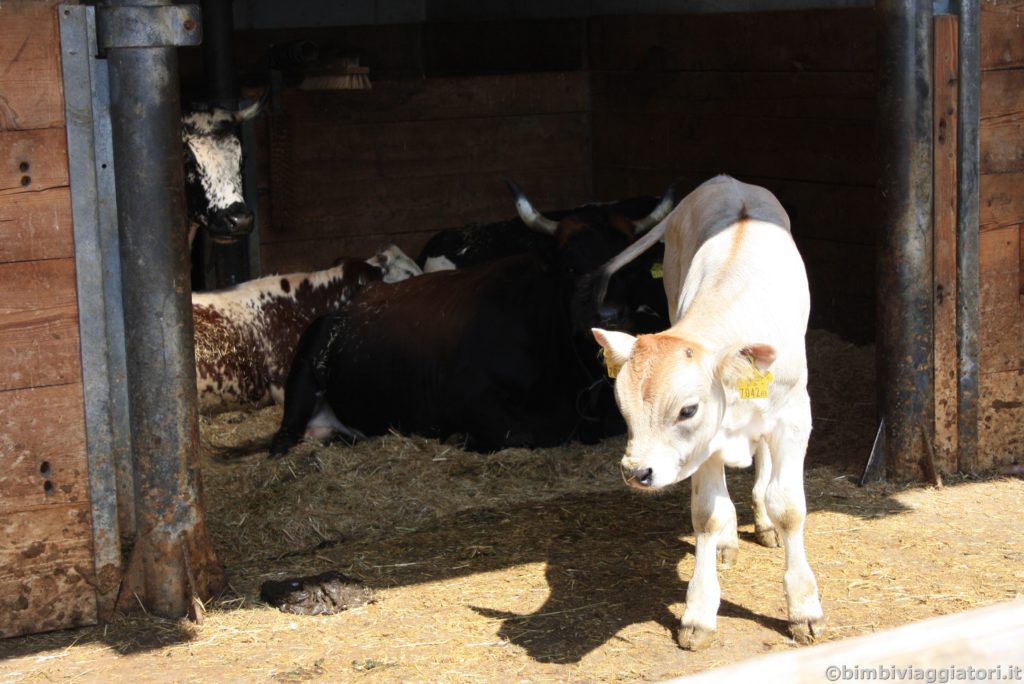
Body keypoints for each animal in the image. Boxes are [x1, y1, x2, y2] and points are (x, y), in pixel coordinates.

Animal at [593, 174, 823, 651]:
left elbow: (789, 506)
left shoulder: (794, 417)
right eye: (622, 407)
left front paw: (804, 607)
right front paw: (698, 611)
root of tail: (725, 181)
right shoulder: (705, 446)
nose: (636, 472)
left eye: (687, 409)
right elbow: (706, 513)